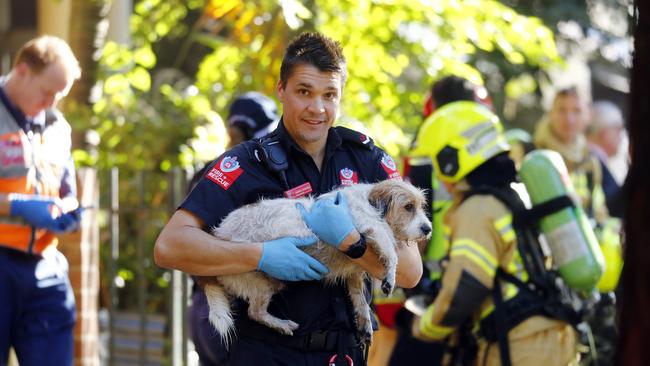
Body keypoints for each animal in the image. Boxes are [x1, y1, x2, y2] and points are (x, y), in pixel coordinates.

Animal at [200, 179, 428, 346]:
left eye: (420, 206)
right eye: (408, 207)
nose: (428, 229)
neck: (369, 204)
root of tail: (220, 235)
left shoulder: (354, 271)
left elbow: (360, 300)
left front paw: (365, 325)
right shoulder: (370, 227)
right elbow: (390, 251)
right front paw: (390, 277)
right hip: (261, 282)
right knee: (254, 312)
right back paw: (281, 325)